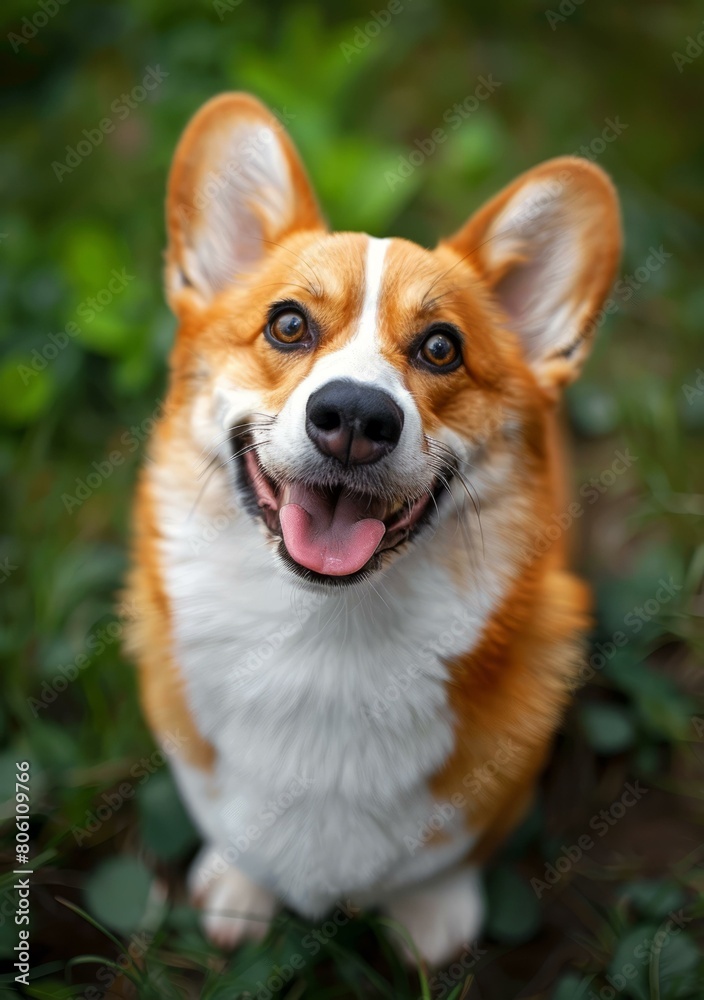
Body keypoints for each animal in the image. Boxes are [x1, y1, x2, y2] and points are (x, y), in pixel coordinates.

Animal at [126, 92, 620, 960]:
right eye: (288, 325)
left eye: (441, 347)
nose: (356, 415)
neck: (328, 638)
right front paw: (240, 886)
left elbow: (448, 854)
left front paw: (431, 913)